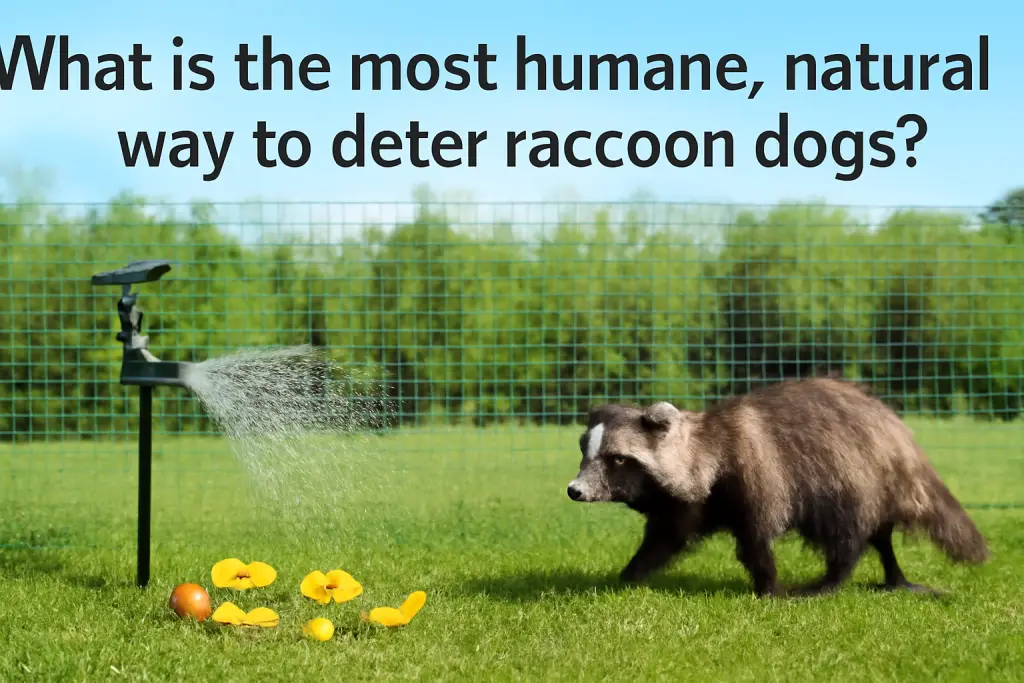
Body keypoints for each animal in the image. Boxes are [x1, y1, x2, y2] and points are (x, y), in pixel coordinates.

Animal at [566, 378, 989, 597]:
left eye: (617, 459)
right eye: (586, 450)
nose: (574, 490)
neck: (706, 447)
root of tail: (902, 440)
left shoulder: (756, 472)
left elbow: (756, 537)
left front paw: (768, 586)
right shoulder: (690, 502)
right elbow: (666, 537)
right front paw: (630, 574)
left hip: (851, 473)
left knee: (847, 536)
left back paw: (829, 581)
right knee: (881, 536)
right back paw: (892, 573)